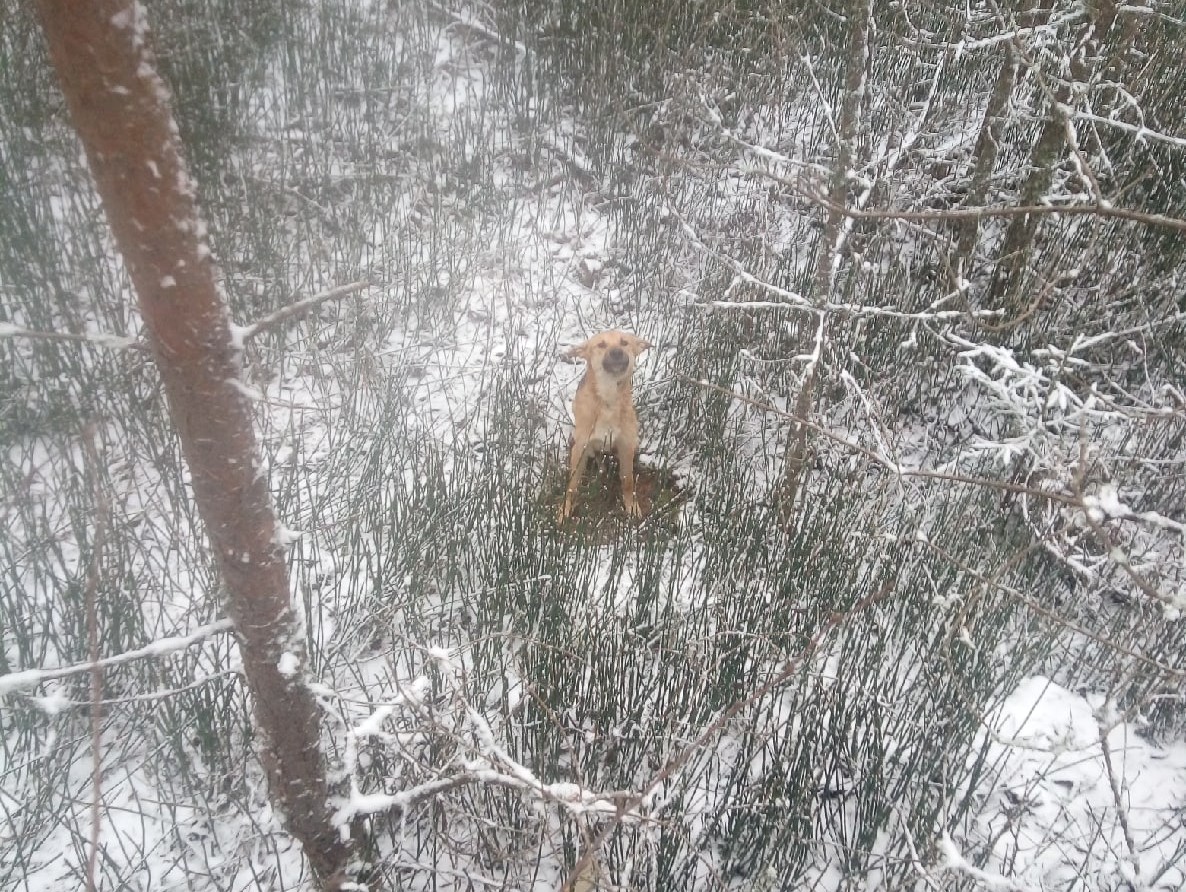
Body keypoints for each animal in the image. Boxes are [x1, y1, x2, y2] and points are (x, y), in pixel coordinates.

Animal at [559, 332, 654, 519]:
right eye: (601, 345)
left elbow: (627, 481)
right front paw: (565, 509)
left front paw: (631, 506)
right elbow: (572, 484)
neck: (608, 398)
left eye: (624, 342)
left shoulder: (625, 446)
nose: (616, 352)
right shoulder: (581, 447)